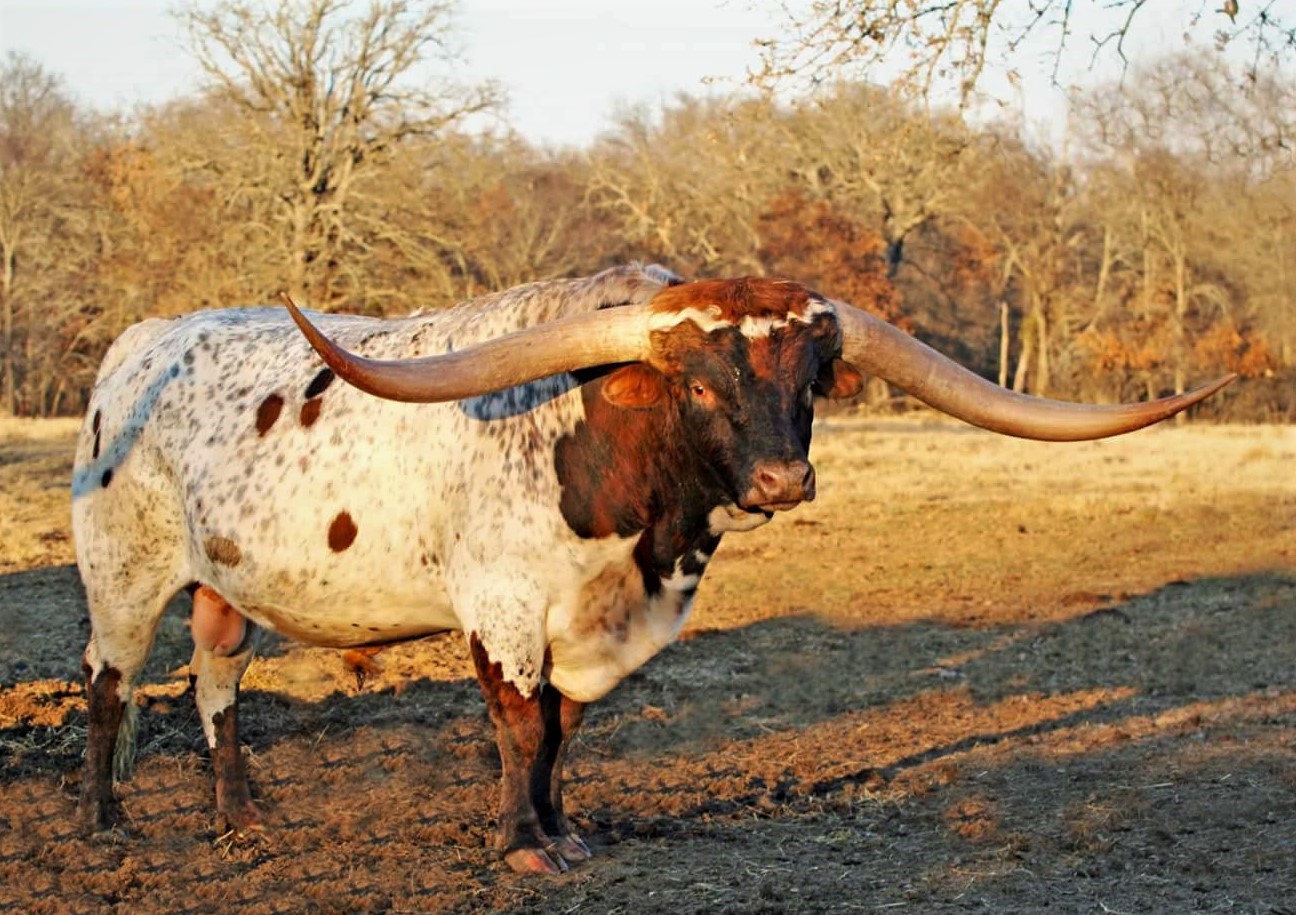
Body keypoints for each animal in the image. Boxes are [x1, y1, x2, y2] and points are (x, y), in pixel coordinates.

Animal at [73, 264, 1232, 874]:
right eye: (704, 384)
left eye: (810, 379)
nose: (783, 479)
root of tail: (142, 343)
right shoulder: (502, 610)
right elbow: (518, 726)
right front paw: (522, 847)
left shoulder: (593, 628)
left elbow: (562, 736)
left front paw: (564, 830)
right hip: (122, 575)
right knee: (109, 682)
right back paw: (108, 824)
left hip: (228, 587)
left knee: (215, 681)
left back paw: (241, 817)